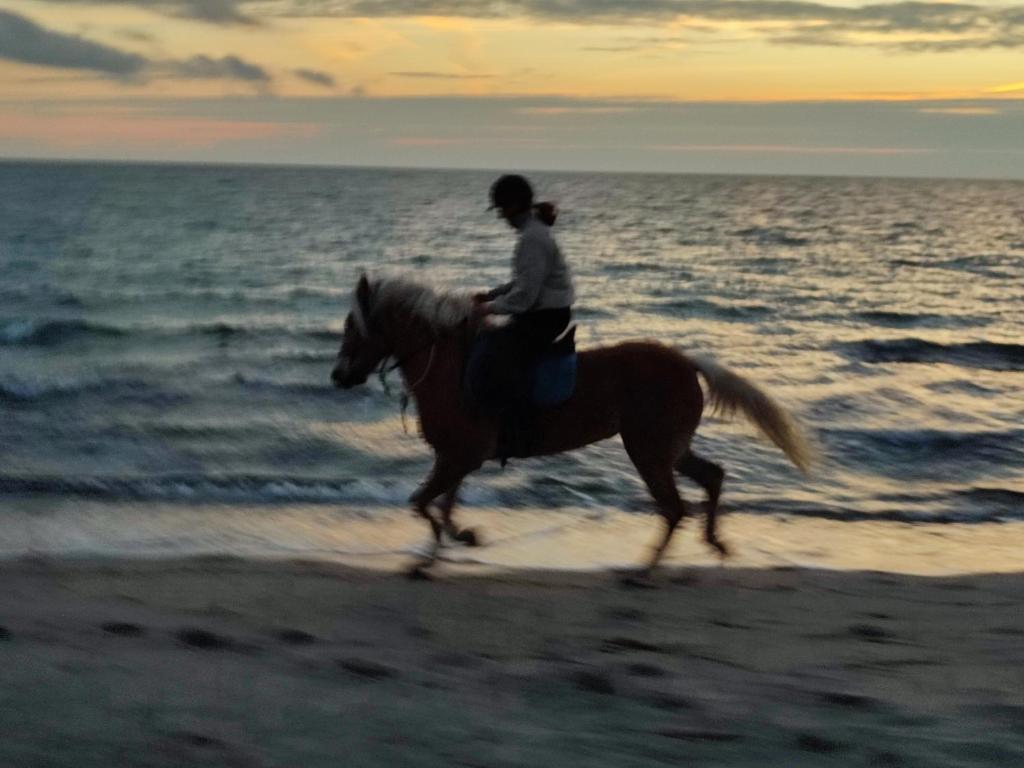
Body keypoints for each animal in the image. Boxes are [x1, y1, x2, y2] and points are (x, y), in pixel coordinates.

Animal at [331, 274, 811, 577]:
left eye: (353, 326)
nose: (338, 377)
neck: (450, 366)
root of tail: (686, 362)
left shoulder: (460, 456)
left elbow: (422, 503)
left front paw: (446, 545)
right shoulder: (456, 458)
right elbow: (440, 505)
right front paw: (450, 546)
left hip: (649, 450)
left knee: (675, 507)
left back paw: (645, 570)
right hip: (669, 447)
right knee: (711, 477)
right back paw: (714, 544)